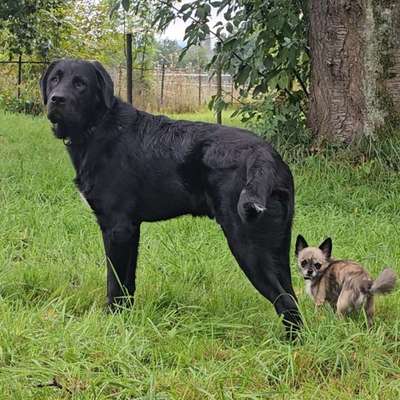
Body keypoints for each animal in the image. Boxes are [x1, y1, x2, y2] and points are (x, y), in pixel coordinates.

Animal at [40, 59, 302, 332]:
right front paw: (126, 321)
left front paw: (111, 321)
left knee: (286, 303)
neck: (99, 126)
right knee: (292, 298)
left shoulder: (116, 228)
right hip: (277, 248)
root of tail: (265, 156)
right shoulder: (131, 229)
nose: (56, 99)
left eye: (80, 83)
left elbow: (115, 283)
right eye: (54, 79)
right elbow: (128, 284)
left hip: (247, 244)